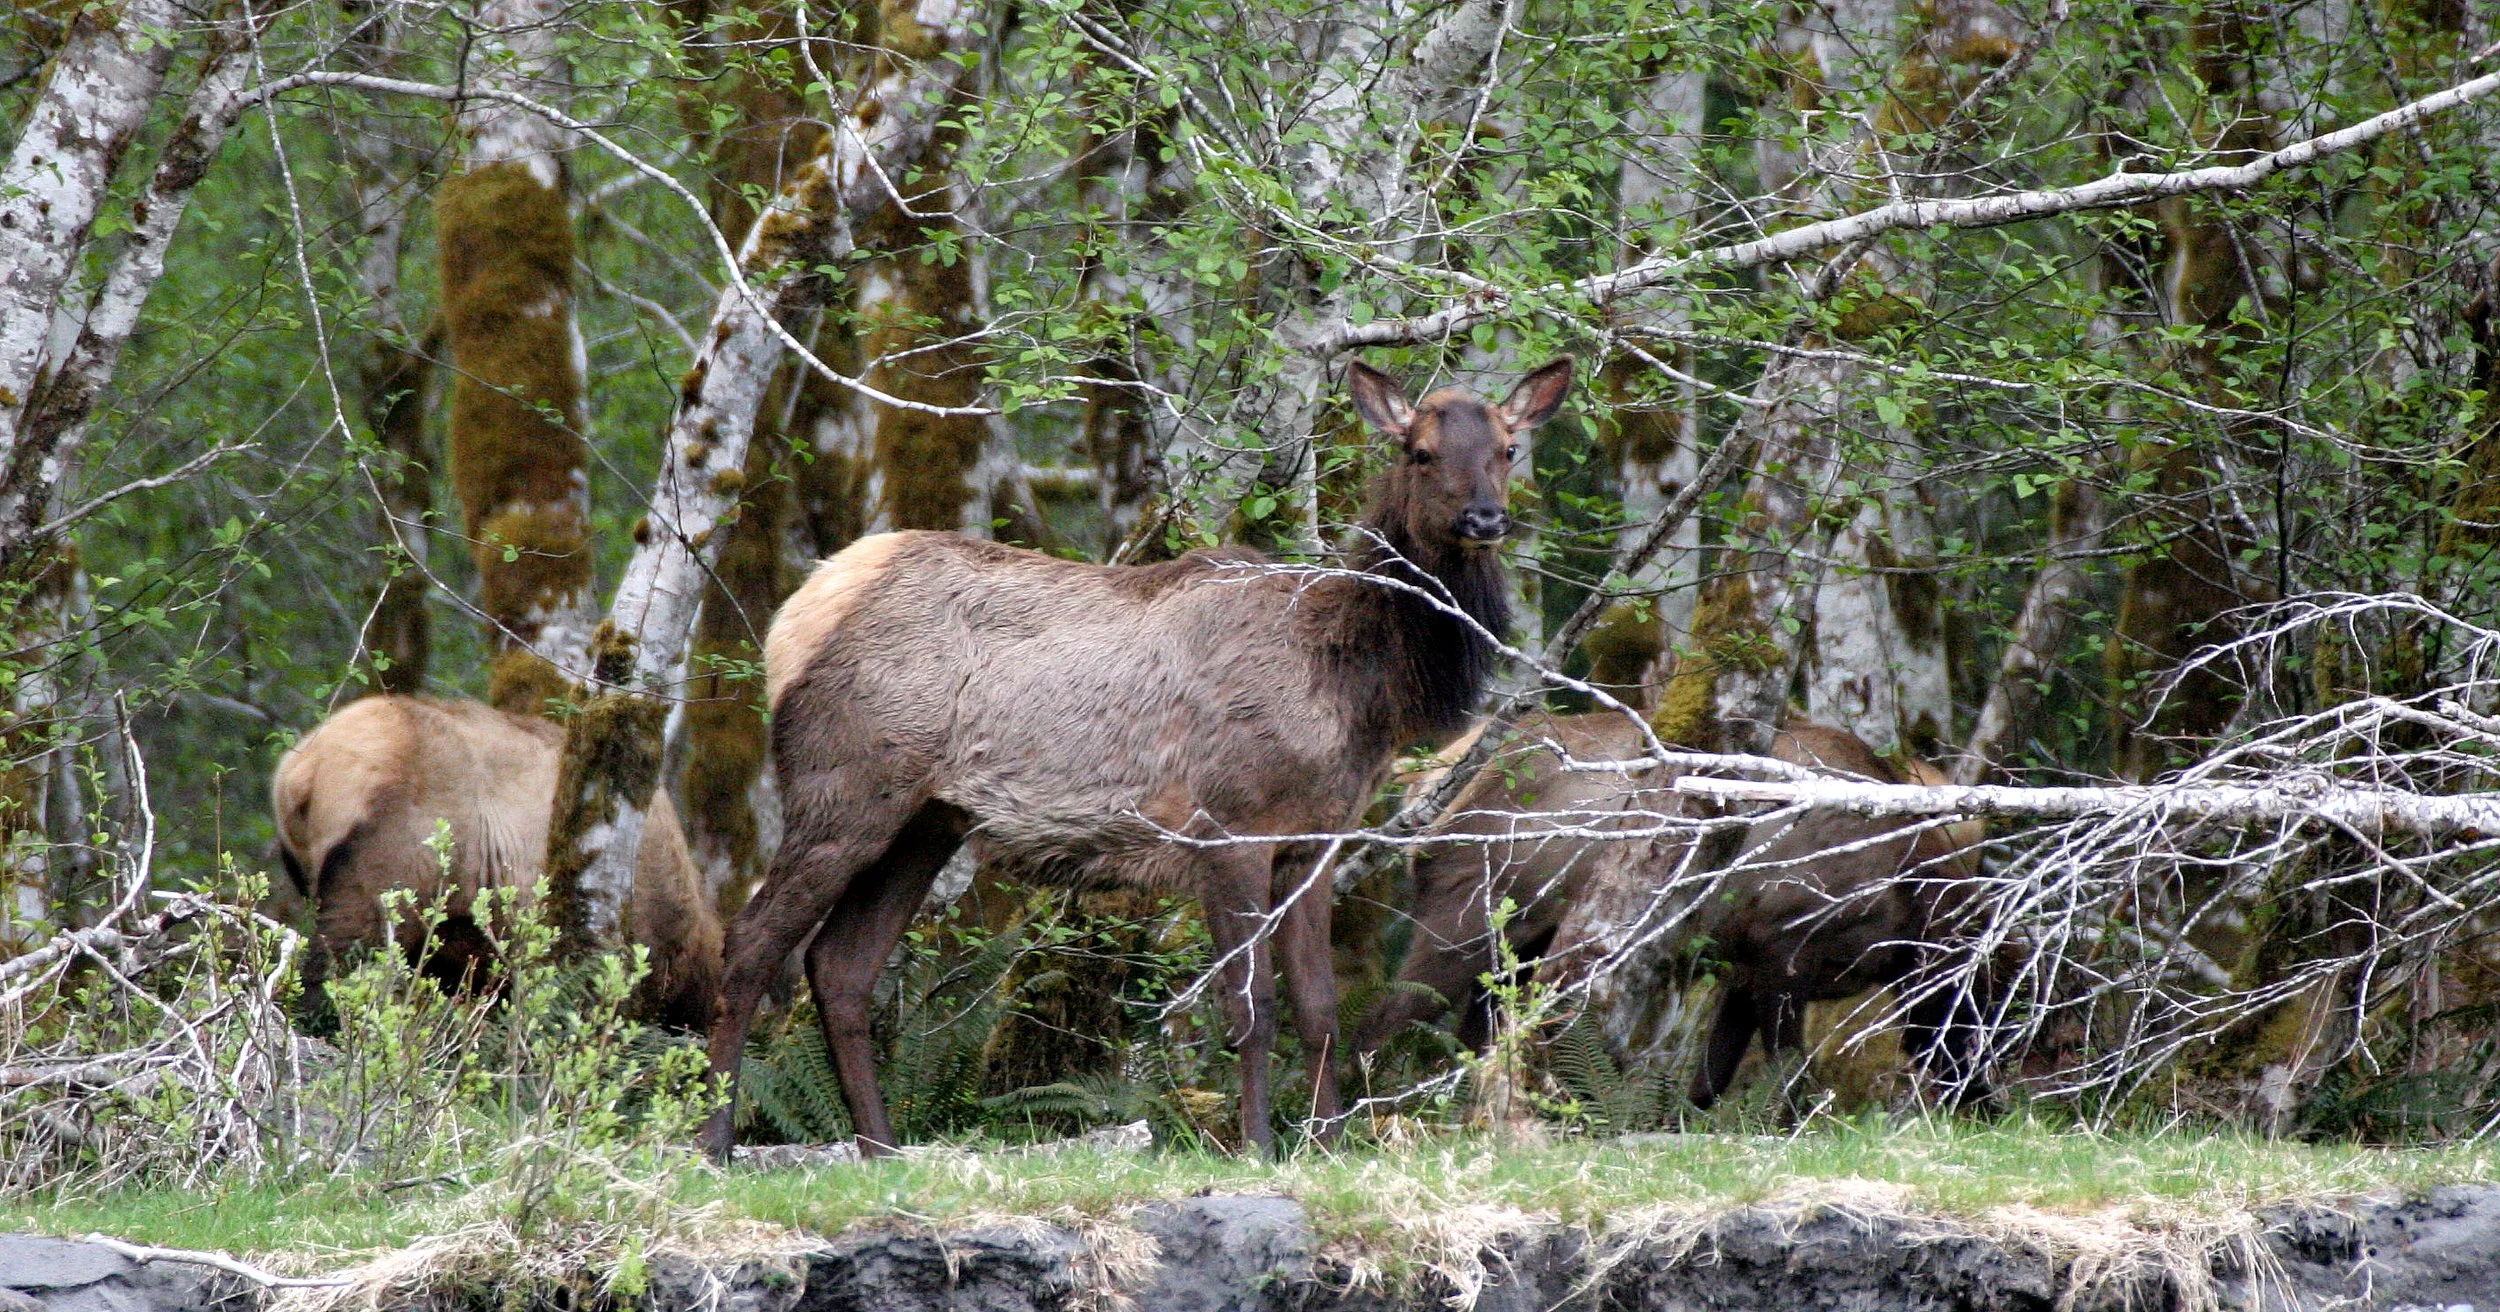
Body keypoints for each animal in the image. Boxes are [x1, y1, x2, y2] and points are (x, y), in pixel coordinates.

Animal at [699, 358, 1575, 1160]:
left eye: (1509, 447)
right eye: (1420, 451)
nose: (1485, 518)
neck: (1355, 686)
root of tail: (792, 618)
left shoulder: (1315, 843)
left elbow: (1321, 1008)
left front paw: (1327, 1145)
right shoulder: (1230, 825)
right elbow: (1250, 1011)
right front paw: (1259, 1146)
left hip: (926, 819)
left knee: (841, 966)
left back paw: (882, 1150)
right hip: (842, 784)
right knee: (749, 943)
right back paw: (713, 1143)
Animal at [1350, 711, 1995, 1110]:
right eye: (1984, 1010)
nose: (1988, 1103)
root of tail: (1423, 775)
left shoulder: (1746, 964)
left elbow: (1709, 1081)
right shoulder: (1784, 947)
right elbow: (1786, 1073)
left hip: (1523, 939)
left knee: (1479, 1035)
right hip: (1464, 909)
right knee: (1382, 1018)